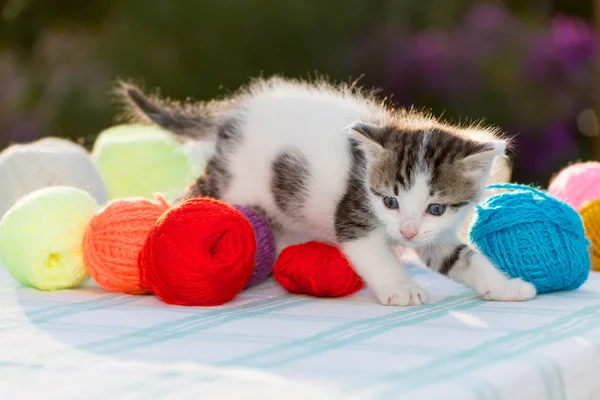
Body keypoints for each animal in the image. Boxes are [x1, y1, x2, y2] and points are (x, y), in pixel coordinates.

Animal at [117, 76, 536, 306]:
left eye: (435, 208)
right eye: (390, 201)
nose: (406, 232)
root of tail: (231, 116)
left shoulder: (439, 236)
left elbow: (464, 259)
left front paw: (506, 287)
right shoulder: (354, 215)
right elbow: (376, 256)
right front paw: (401, 288)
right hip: (230, 181)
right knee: (189, 195)